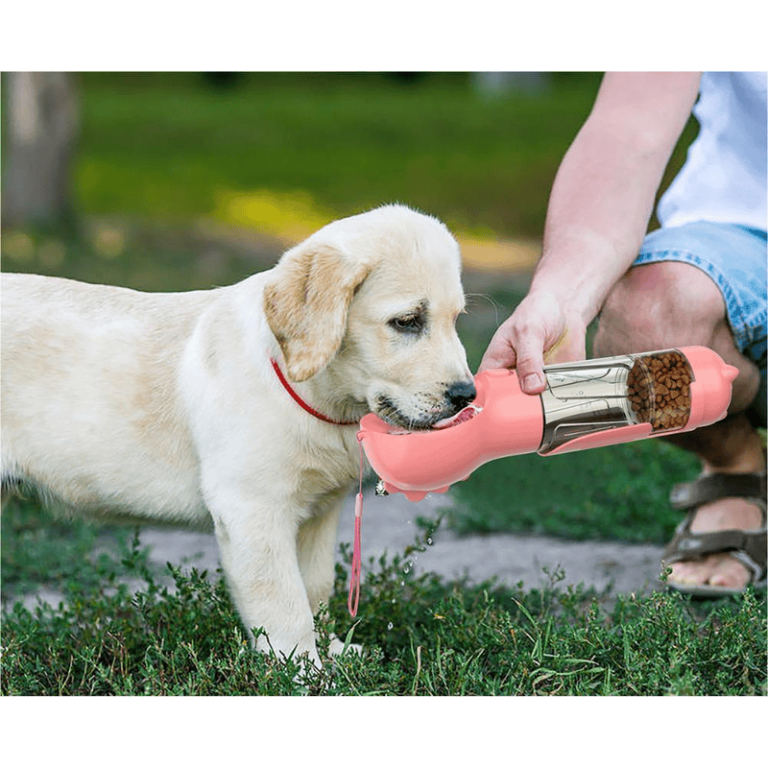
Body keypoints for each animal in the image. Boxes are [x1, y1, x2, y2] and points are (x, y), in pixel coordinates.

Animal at [1, 204, 474, 664]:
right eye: (407, 321)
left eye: (456, 320)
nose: (466, 396)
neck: (314, 394)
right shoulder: (252, 509)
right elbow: (285, 605)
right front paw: (303, 671)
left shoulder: (319, 513)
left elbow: (315, 588)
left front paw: (333, 652)